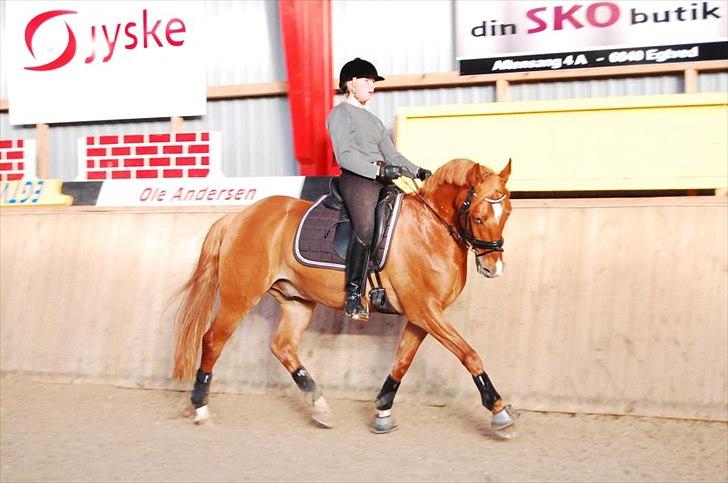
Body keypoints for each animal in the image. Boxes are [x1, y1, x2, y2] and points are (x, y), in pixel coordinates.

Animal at [172, 157, 519, 437]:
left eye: (507, 212)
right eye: (478, 217)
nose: (495, 268)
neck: (431, 228)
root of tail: (237, 218)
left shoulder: (422, 314)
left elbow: (402, 362)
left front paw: (382, 412)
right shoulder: (425, 310)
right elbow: (469, 354)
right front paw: (499, 411)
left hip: (296, 301)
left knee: (282, 347)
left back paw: (320, 407)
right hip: (240, 297)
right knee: (213, 340)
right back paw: (201, 408)